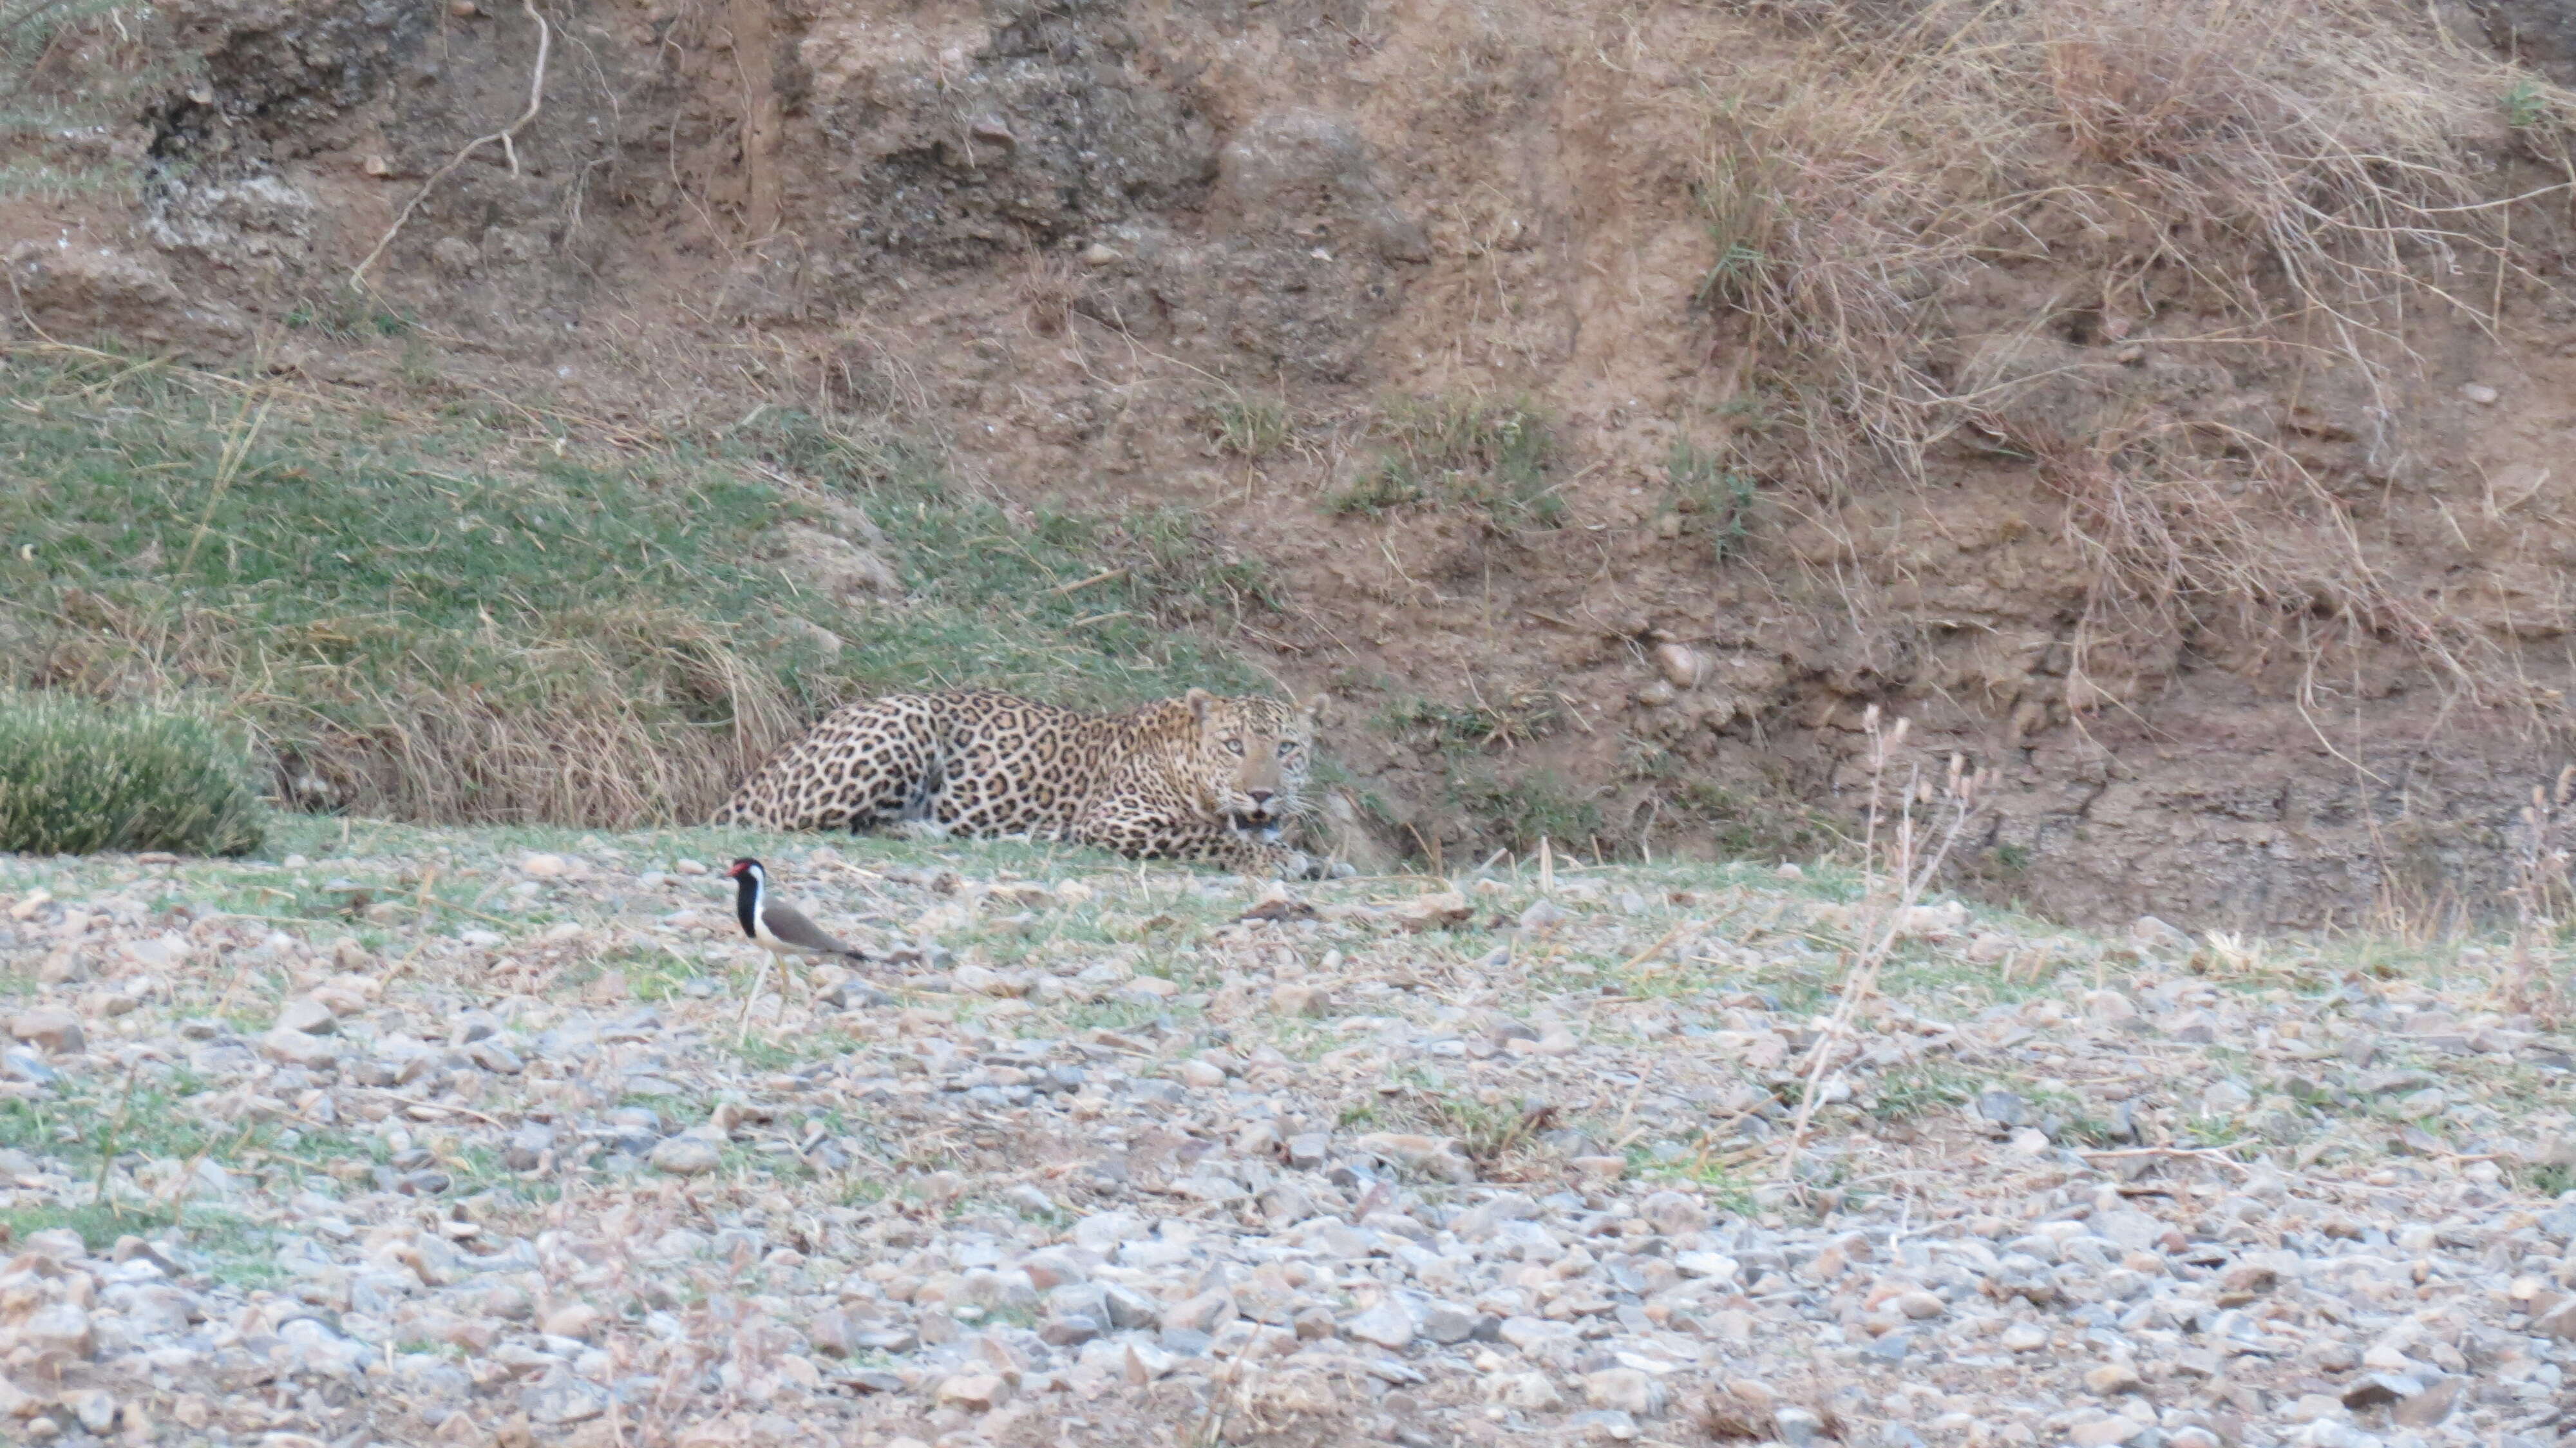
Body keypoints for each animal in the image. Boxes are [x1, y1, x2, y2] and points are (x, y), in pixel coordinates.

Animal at [721, 685, 1340, 876]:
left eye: (1287, 749)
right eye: (1233, 746)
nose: (1262, 794)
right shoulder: (1118, 821)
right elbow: (1209, 837)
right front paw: (1280, 859)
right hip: (906, 718)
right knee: (818, 825)